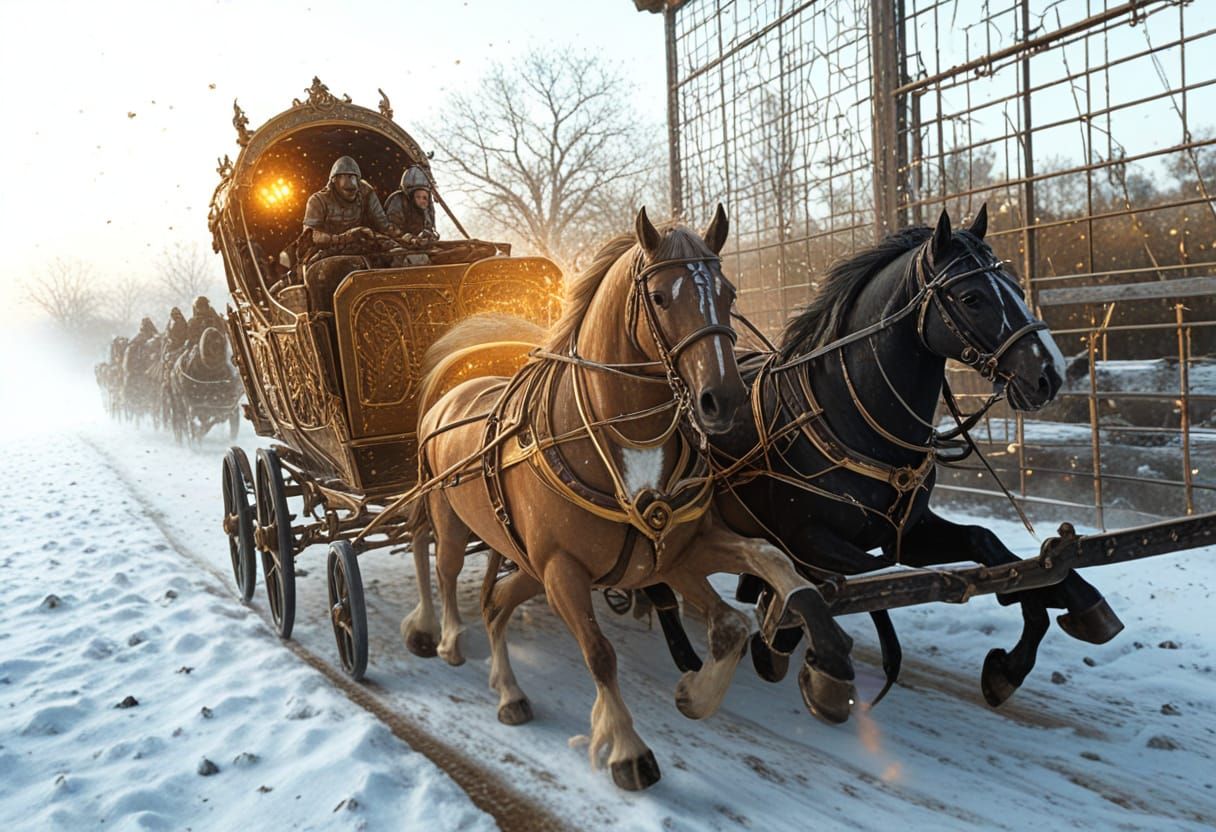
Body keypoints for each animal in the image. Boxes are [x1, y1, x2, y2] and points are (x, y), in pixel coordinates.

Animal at [403, 207, 857, 791]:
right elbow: (600, 654)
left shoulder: (676, 550)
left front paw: (701, 691)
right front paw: (626, 748)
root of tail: (452, 392)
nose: (725, 400)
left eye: (729, 292)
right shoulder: (565, 570)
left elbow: (753, 589)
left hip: (528, 564)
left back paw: (508, 690)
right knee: (441, 567)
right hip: (459, 527)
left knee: (495, 602)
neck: (624, 441)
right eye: (660, 297)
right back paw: (443, 636)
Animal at [656, 206, 1122, 709]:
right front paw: (785, 639)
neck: (852, 422)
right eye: (972, 297)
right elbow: (874, 581)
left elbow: (988, 547)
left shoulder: (910, 532)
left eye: (1017, 287)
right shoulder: (808, 538)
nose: (1049, 374)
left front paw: (1049, 618)